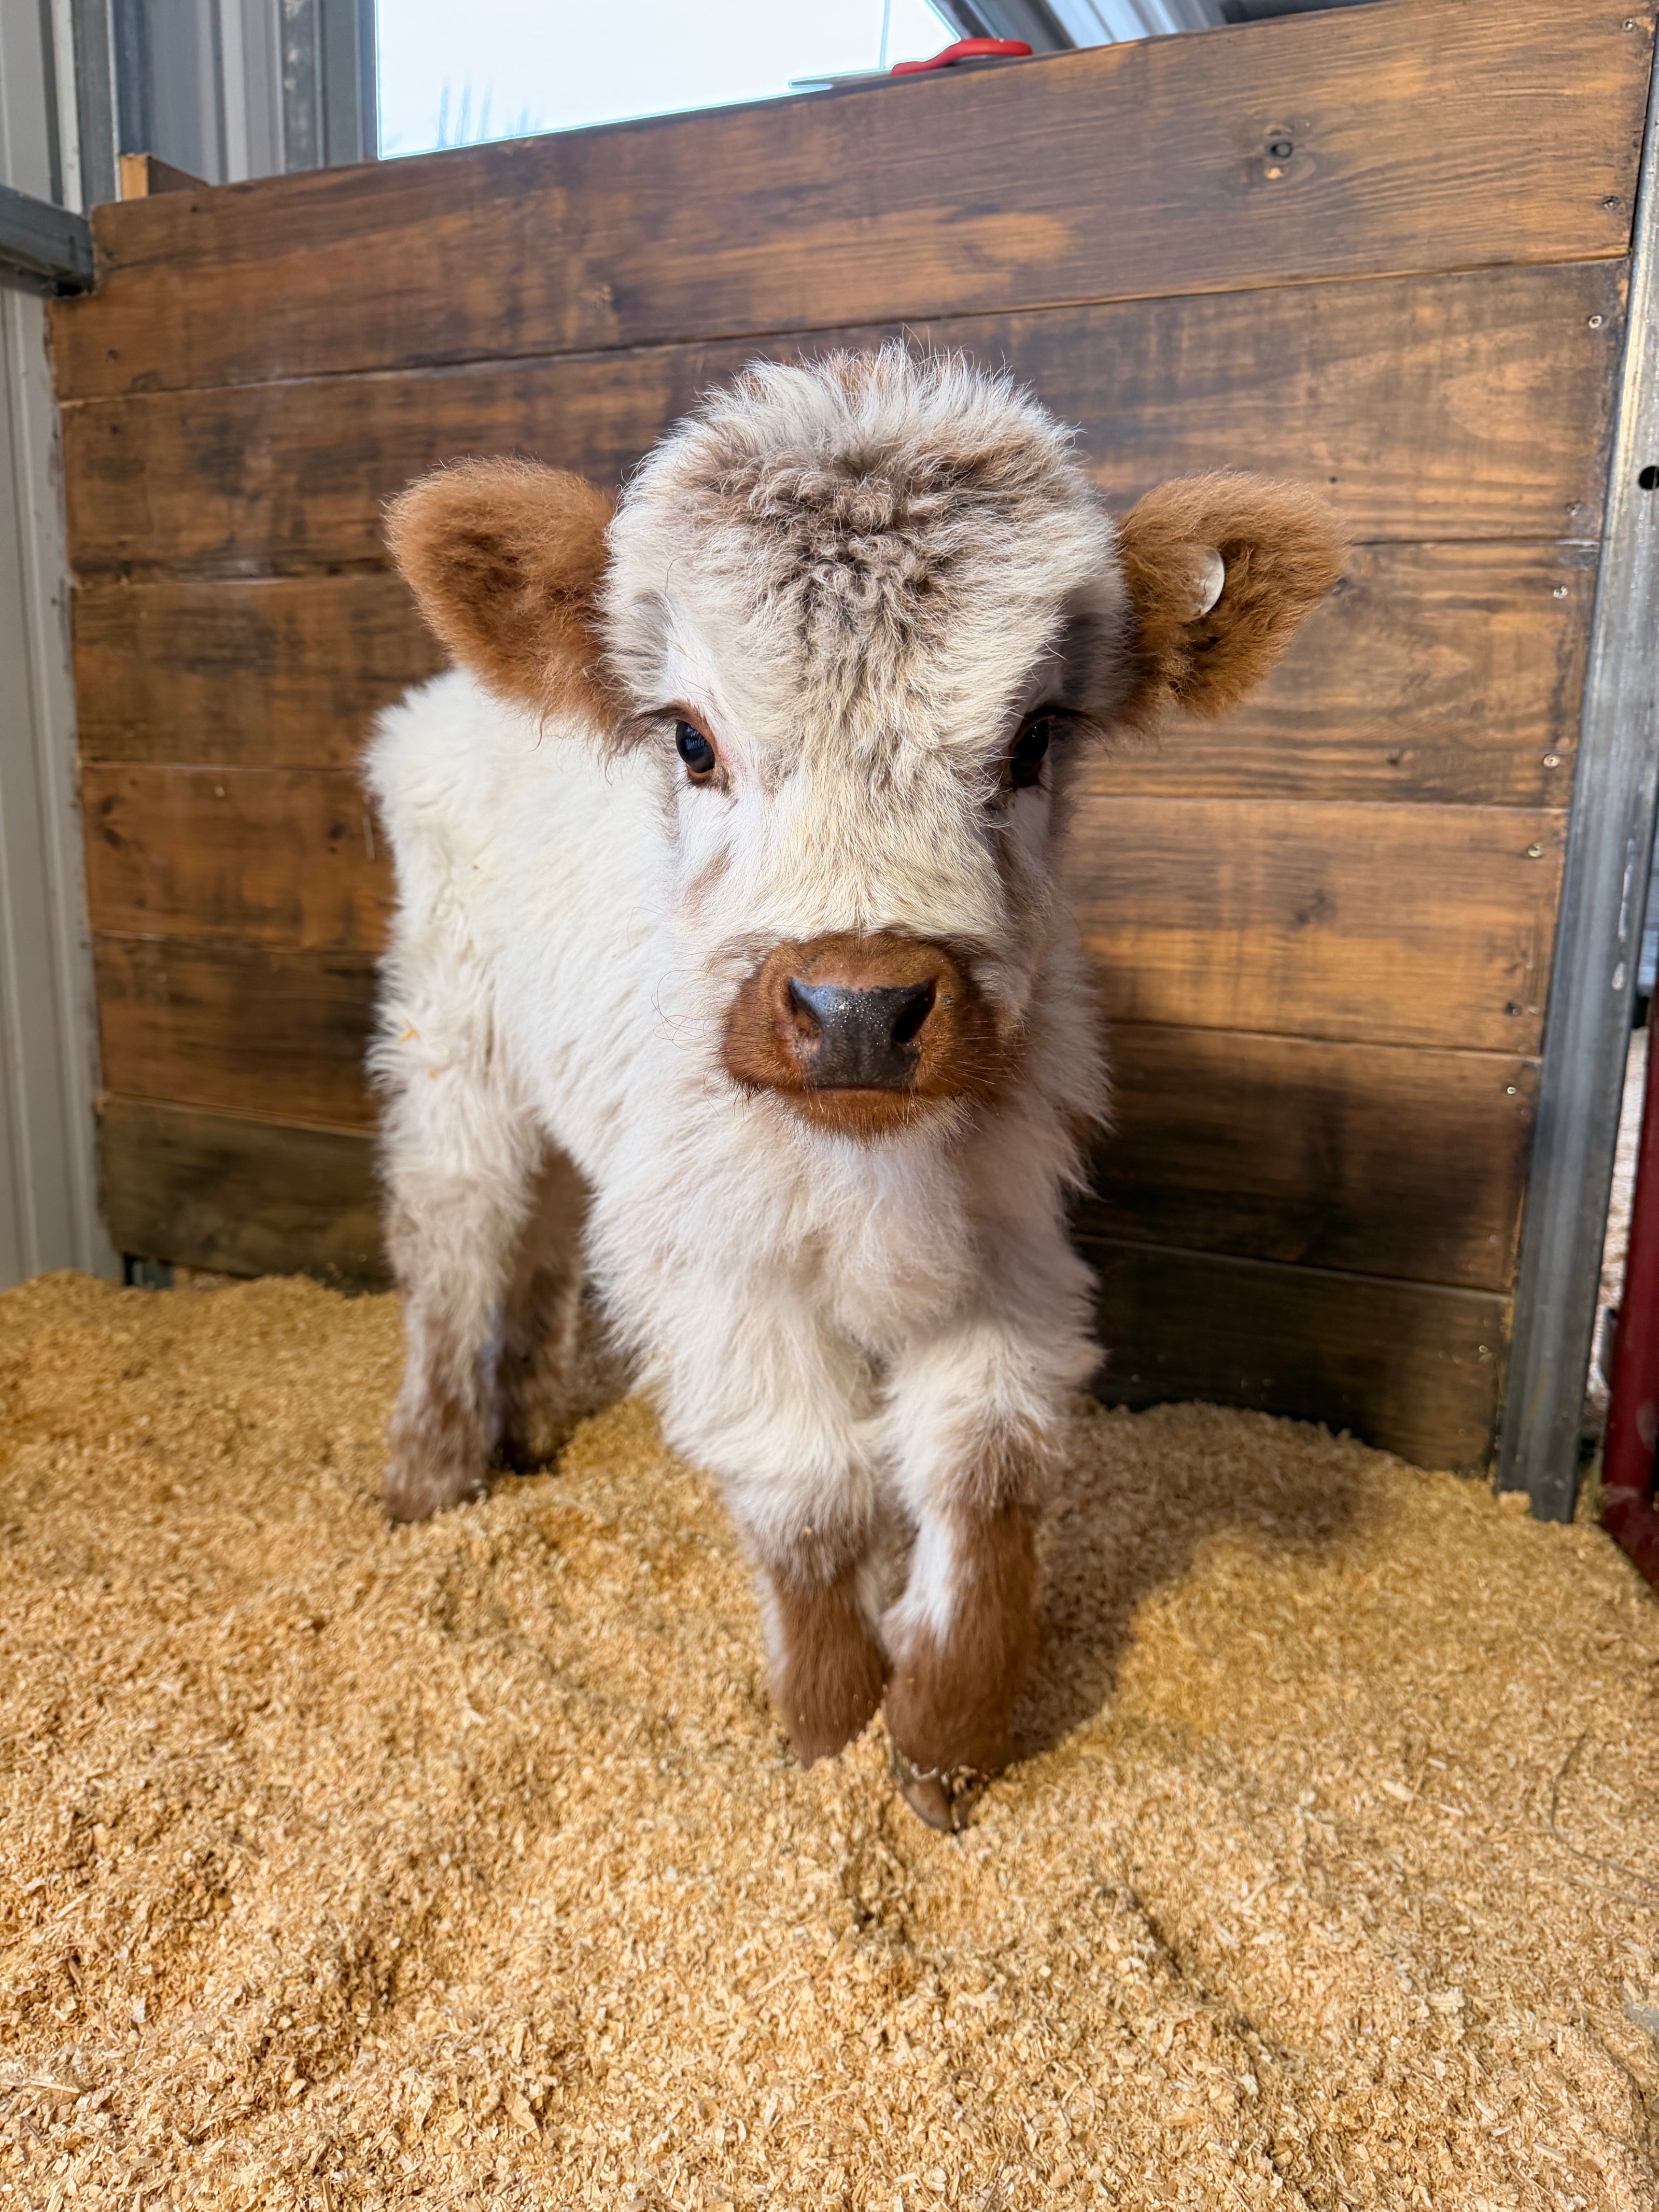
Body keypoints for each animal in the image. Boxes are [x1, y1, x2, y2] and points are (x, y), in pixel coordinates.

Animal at [365, 347, 1342, 1828]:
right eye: (691, 740)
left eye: (1036, 736)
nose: (862, 1011)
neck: (868, 1167)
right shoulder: (722, 1269)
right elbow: (812, 1487)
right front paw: (824, 1738)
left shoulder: (1006, 1244)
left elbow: (983, 1470)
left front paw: (942, 1749)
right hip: (450, 1039)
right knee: (456, 1229)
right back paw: (431, 1474)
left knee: (542, 1234)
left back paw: (529, 1424)